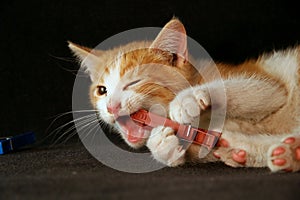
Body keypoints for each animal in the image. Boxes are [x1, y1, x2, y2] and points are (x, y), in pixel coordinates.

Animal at [69, 18, 300, 172]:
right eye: (102, 90)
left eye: (134, 82)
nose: (111, 106)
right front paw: (163, 146)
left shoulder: (269, 85)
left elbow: (263, 91)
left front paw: (187, 100)